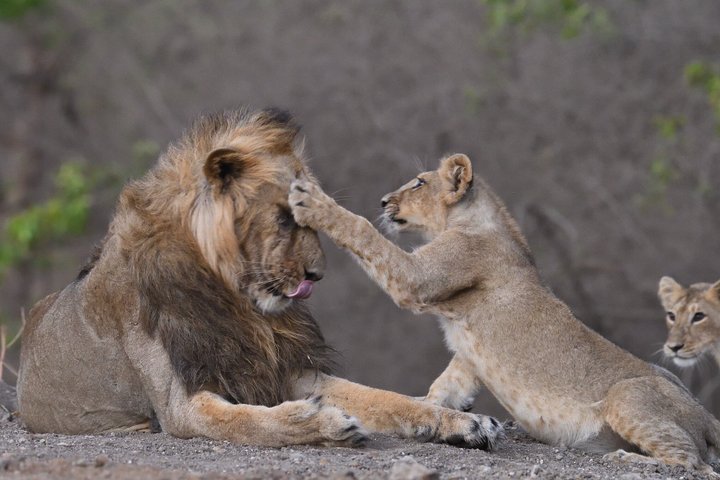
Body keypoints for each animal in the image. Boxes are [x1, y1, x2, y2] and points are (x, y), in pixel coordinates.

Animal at [16, 110, 503, 449]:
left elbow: (387, 399)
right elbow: (248, 420)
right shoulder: (181, 405)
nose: (317, 274)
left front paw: (463, 422)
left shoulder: (286, 368)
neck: (239, 302)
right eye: (286, 218)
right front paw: (321, 422)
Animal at [289, 153, 720, 475]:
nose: (382, 201)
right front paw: (444, 416)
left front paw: (314, 202)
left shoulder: (421, 278)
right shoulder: (467, 355)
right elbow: (446, 384)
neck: (468, 220)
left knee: (693, 463)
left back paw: (627, 459)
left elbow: (364, 232)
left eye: (419, 183)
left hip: (626, 396)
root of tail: (706, 416)